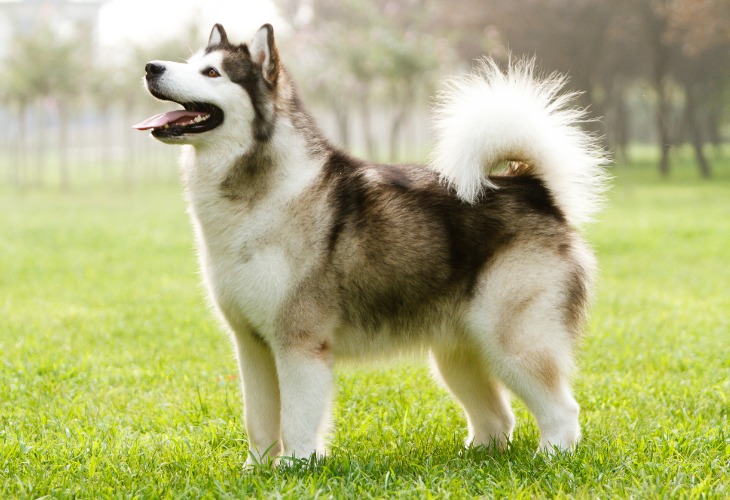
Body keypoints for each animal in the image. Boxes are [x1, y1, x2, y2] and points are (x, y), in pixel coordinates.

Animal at [134, 23, 604, 466]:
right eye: (189, 61)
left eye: (211, 72)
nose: (151, 67)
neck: (257, 192)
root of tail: (532, 188)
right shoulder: (252, 346)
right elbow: (259, 420)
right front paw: (258, 469)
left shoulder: (298, 343)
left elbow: (297, 418)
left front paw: (296, 467)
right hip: (457, 353)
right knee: (498, 419)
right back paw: (474, 458)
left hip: (513, 341)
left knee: (563, 410)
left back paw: (550, 457)